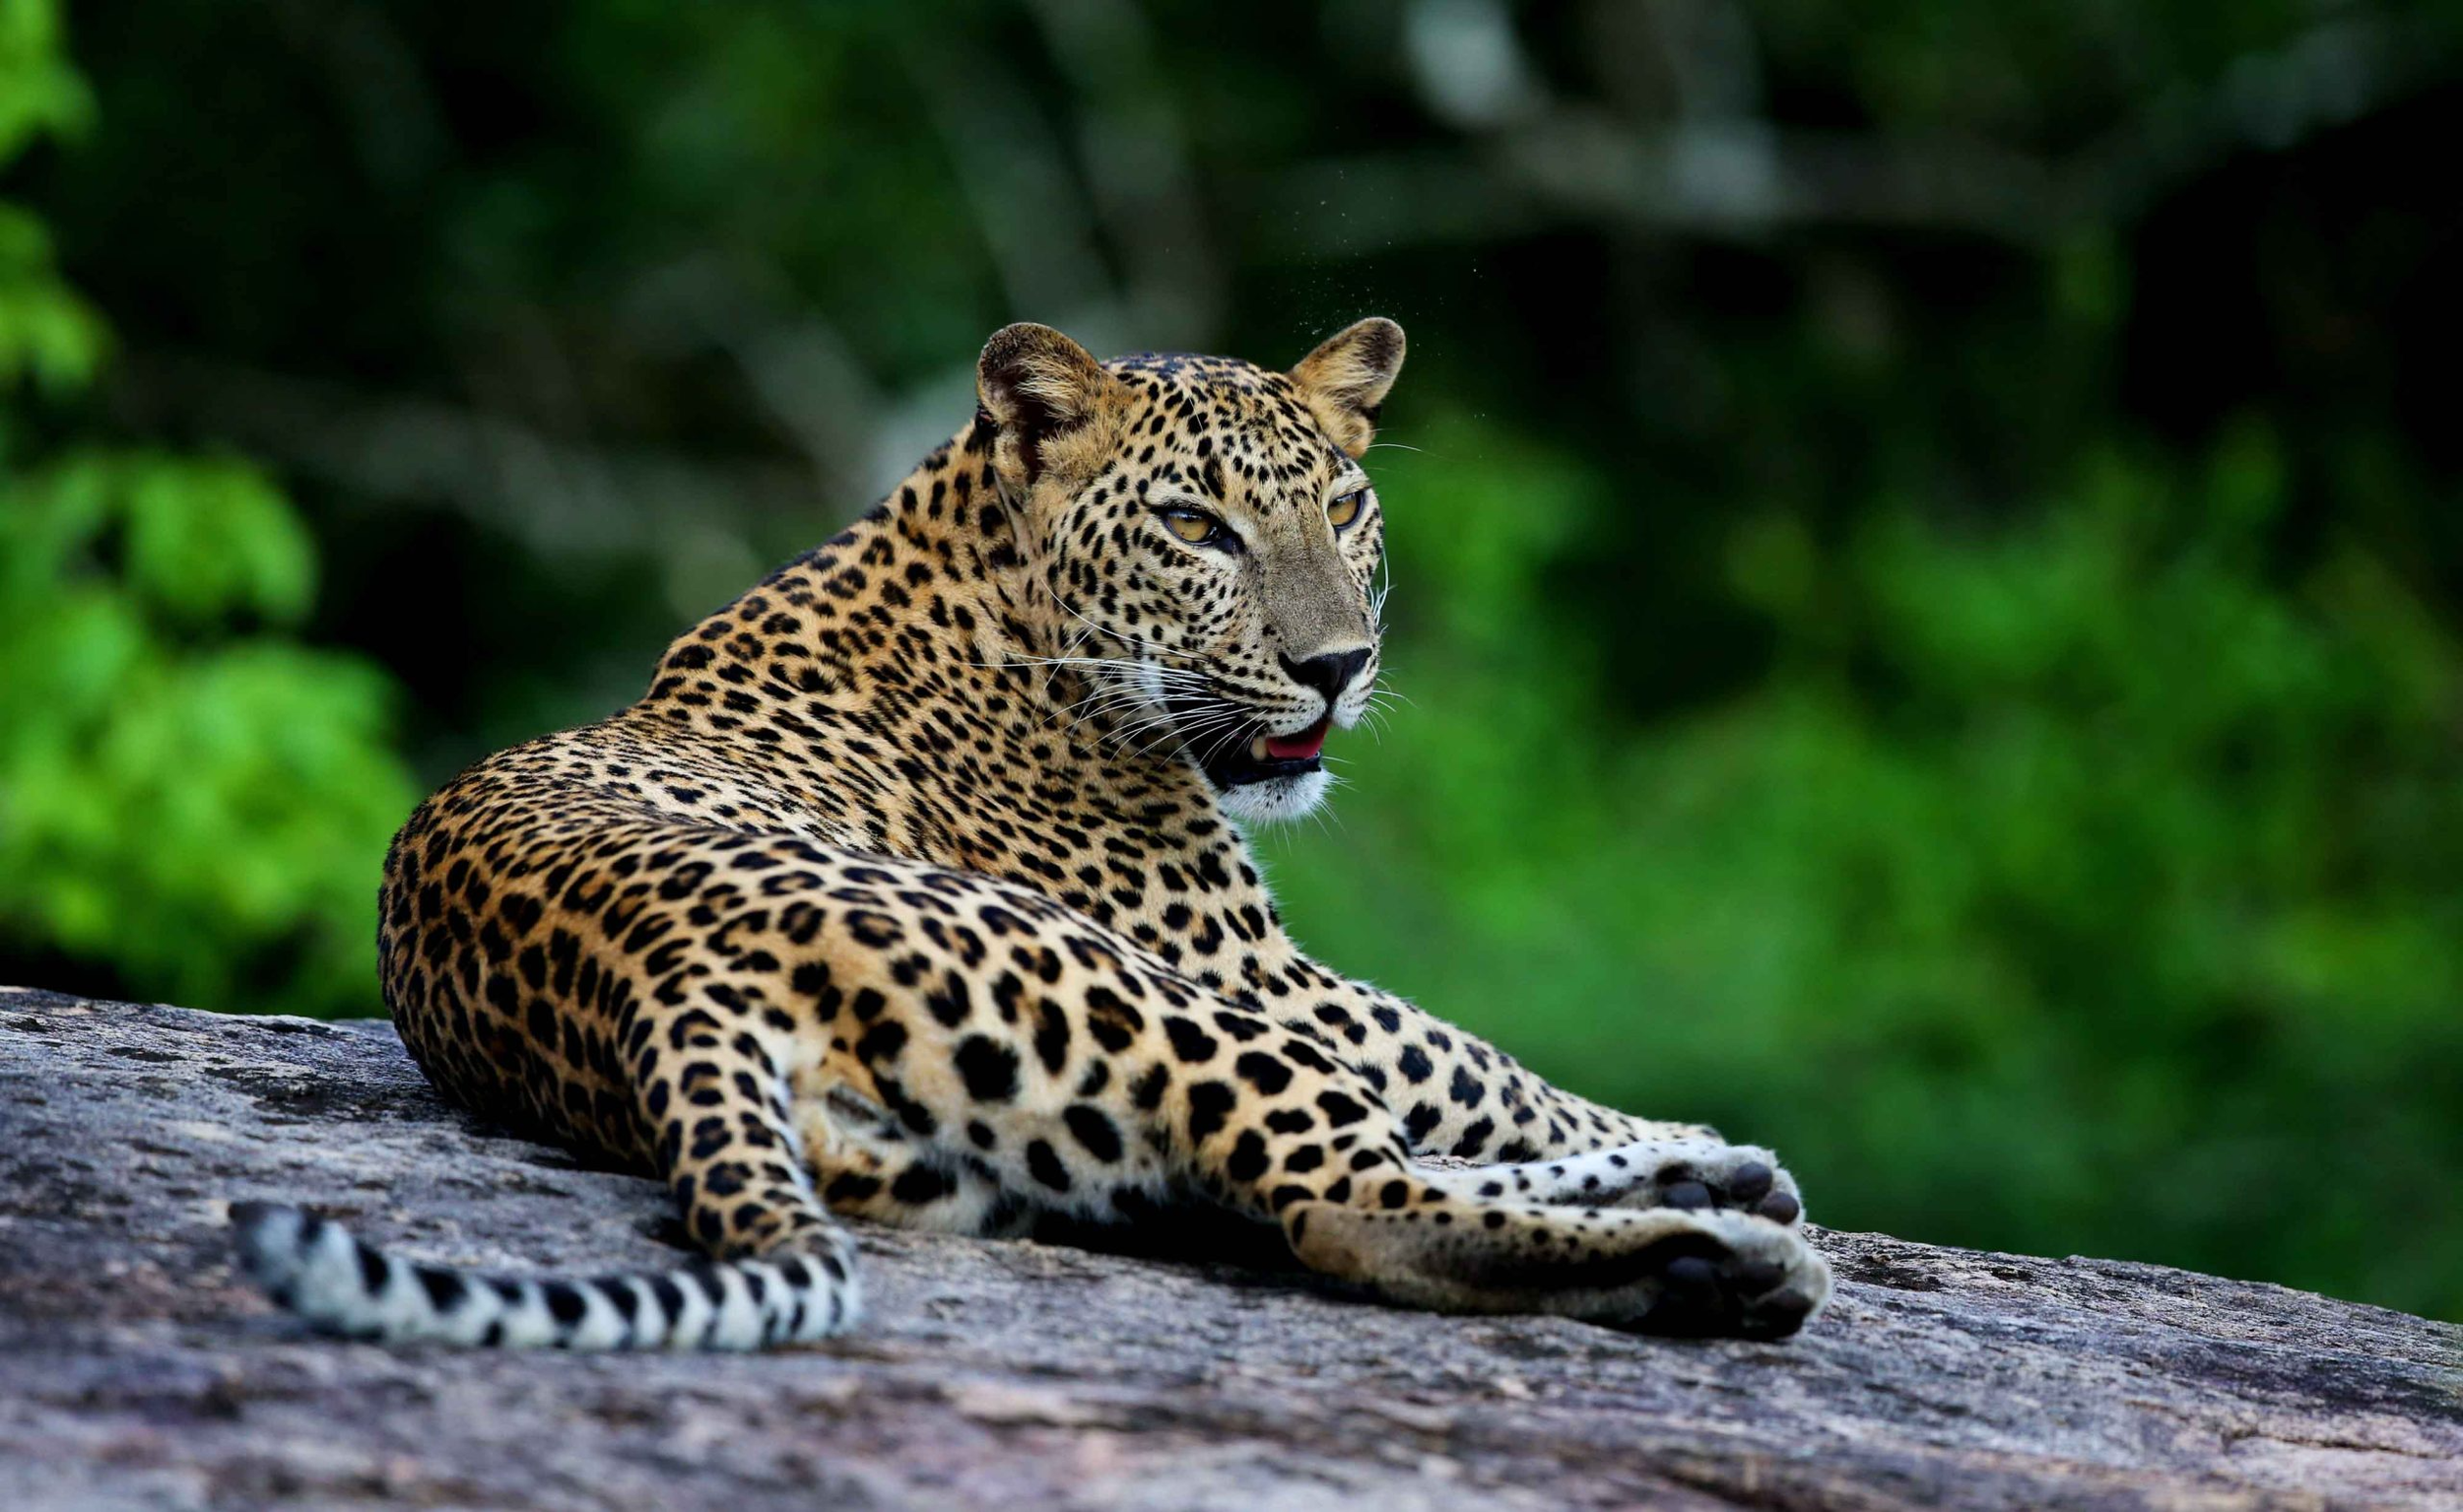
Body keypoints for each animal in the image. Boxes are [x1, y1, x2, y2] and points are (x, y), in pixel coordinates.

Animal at [232, 318, 1832, 1349]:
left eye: (1344, 504)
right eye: (1196, 526)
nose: (1338, 665)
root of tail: (657, 982)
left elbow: (1460, 1067)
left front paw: (1692, 1143)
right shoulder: (1248, 960)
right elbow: (1470, 1057)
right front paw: (1677, 1133)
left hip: (1009, 1154)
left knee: (1280, 1180)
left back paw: (1715, 1202)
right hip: (1144, 994)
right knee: (1340, 1196)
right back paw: (1719, 1255)